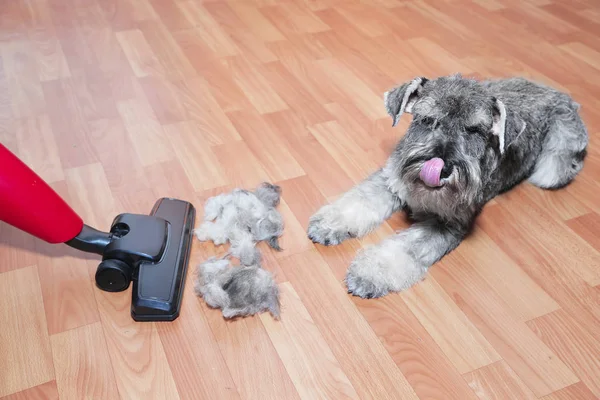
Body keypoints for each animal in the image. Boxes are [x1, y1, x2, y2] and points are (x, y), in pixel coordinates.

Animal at [308, 73, 588, 298]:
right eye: (426, 120)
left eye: (474, 130)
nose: (441, 168)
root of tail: (559, 93)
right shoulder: (390, 180)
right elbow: (361, 199)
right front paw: (330, 224)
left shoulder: (448, 222)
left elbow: (408, 246)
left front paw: (370, 273)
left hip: (555, 161)